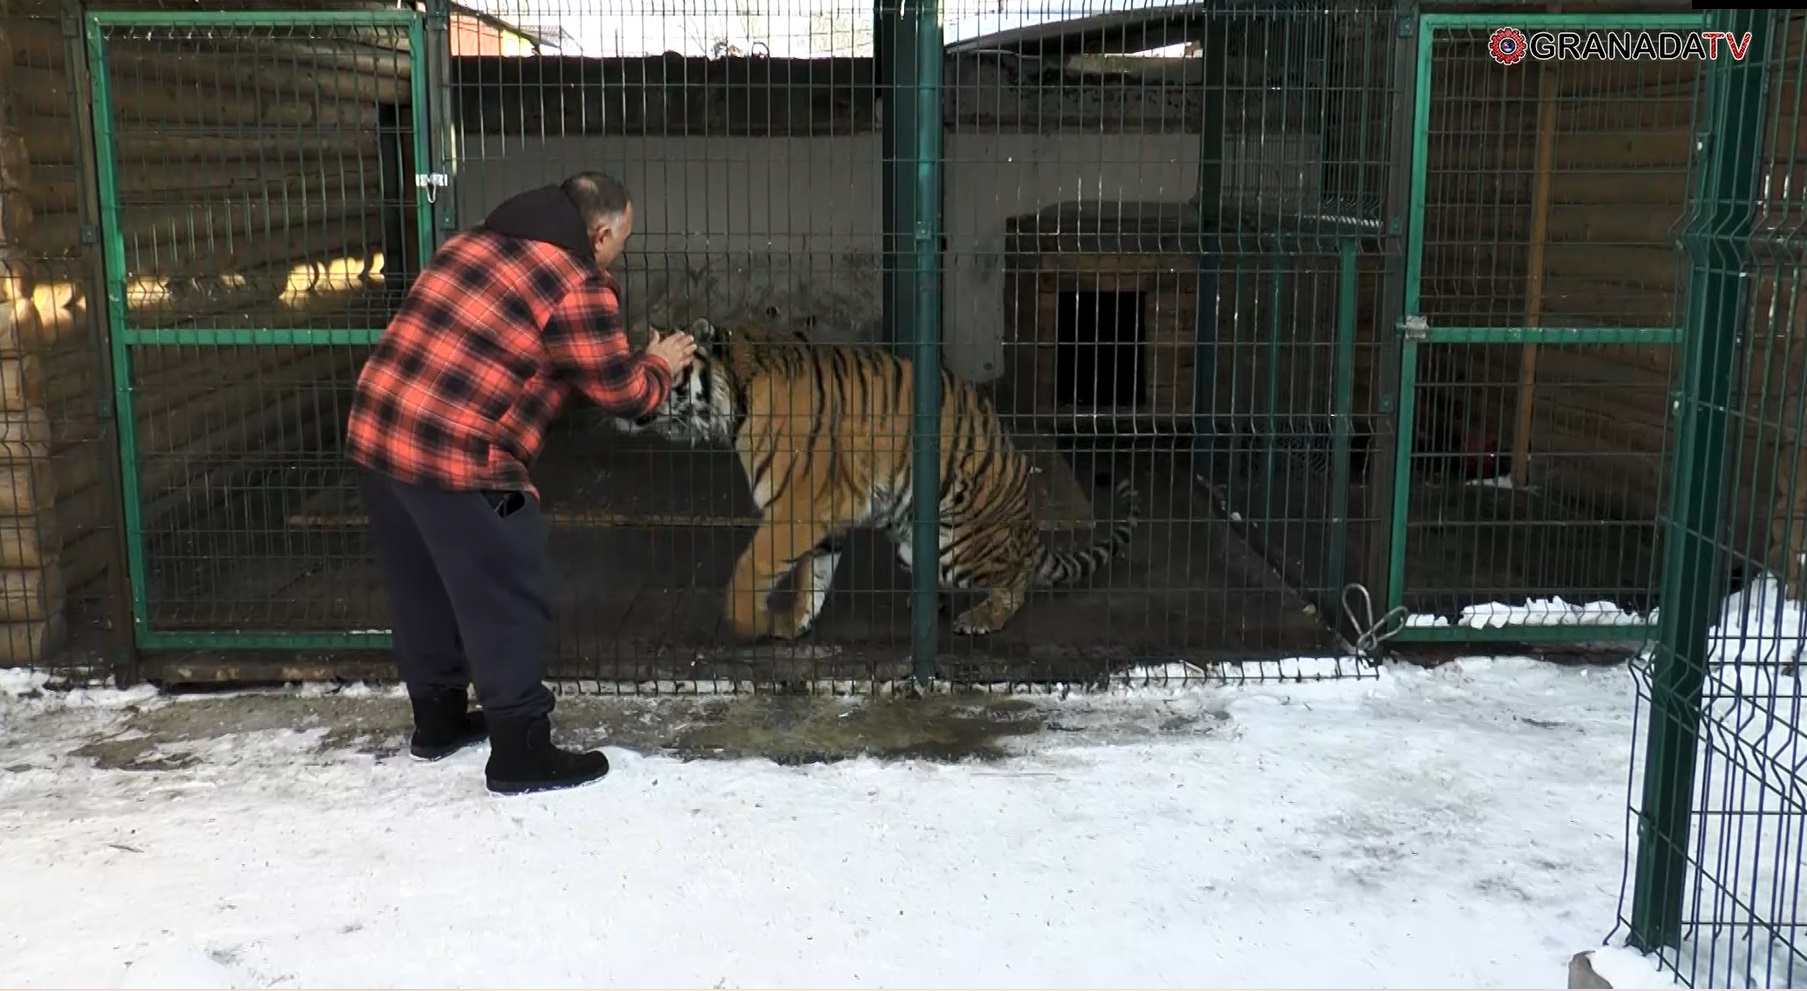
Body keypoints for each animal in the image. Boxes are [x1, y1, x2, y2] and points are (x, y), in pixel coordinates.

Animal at [614, 318, 1134, 643]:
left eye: (655, 363)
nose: (618, 390)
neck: (733, 398)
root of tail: (1029, 526)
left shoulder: (795, 508)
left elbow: (750, 567)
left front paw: (744, 620)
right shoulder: (823, 514)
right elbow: (811, 577)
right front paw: (792, 625)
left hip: (957, 543)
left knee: (1017, 577)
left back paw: (981, 617)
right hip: (912, 540)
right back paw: (925, 604)